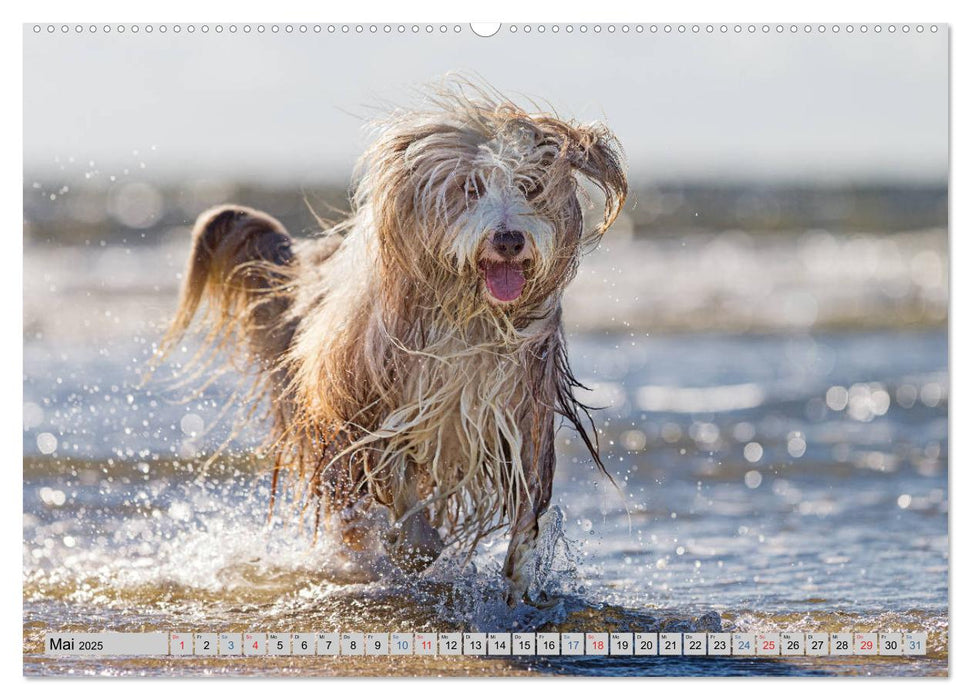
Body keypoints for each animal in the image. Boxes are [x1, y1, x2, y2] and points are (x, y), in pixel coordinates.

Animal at [159, 86, 628, 600]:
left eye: (530, 186)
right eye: (469, 188)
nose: (509, 239)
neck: (466, 310)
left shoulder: (522, 402)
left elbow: (528, 502)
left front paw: (520, 580)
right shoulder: (369, 401)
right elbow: (394, 479)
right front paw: (412, 548)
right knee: (349, 508)